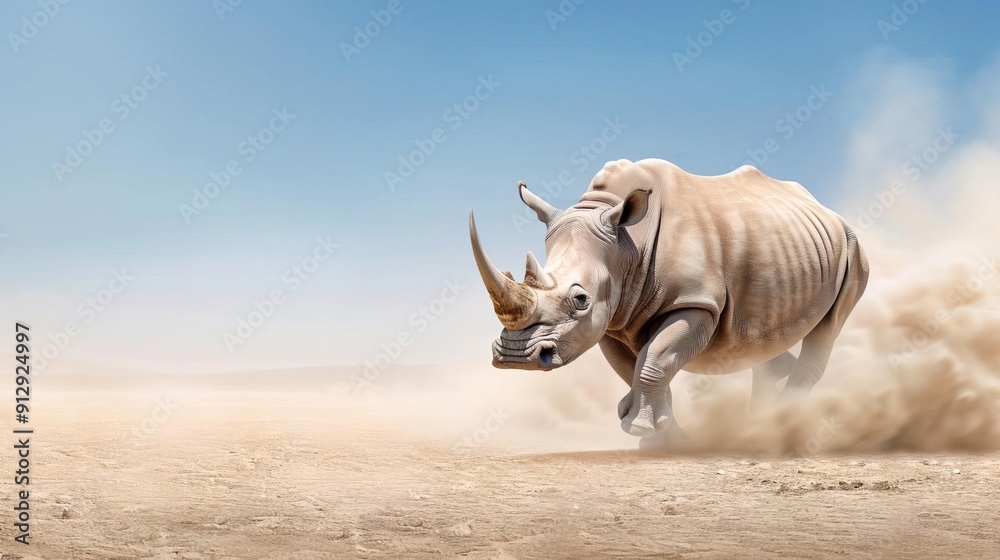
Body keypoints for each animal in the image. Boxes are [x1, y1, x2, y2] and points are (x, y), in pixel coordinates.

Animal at [469, 158, 869, 441]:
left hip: (852, 248)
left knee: (828, 329)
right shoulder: (612, 318)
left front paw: (642, 428)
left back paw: (780, 422)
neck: (627, 244)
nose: (517, 356)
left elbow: (654, 361)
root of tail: (824, 209)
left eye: (580, 299)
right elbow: (635, 369)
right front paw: (659, 436)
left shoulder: (695, 302)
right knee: (762, 337)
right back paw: (762, 416)